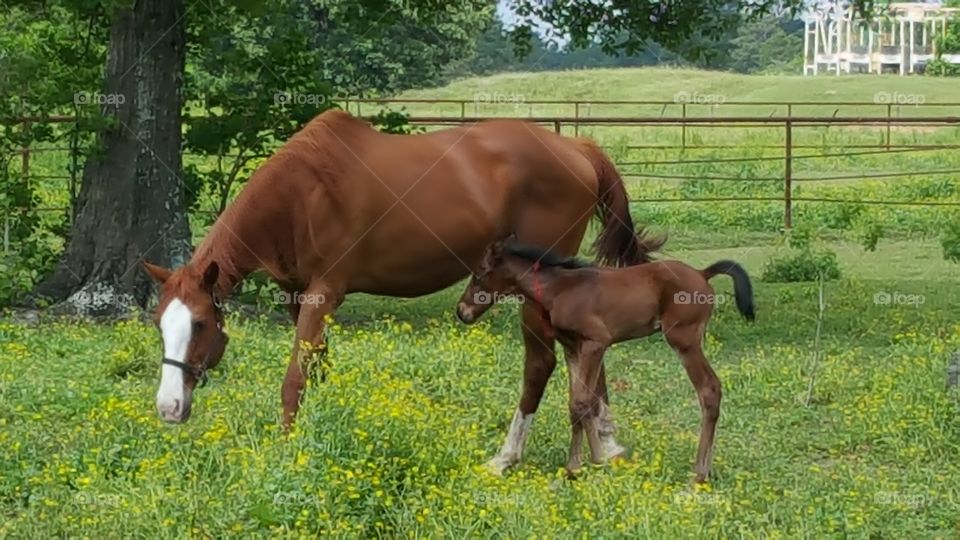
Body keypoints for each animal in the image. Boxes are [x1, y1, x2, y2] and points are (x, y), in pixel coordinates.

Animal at [141, 109, 663, 473]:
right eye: (159, 324)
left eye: (201, 324)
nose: (168, 408)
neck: (300, 194)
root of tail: (577, 147)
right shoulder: (298, 297)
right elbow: (318, 368)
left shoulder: (324, 294)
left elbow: (294, 378)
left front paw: (286, 448)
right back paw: (604, 447)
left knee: (541, 365)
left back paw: (508, 456)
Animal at [455, 238, 755, 482]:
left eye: (480, 272)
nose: (462, 311)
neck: (560, 289)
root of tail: (702, 273)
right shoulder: (573, 347)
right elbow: (574, 404)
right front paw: (573, 468)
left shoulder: (595, 343)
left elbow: (583, 401)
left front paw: (598, 461)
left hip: (684, 340)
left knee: (709, 389)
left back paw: (697, 476)